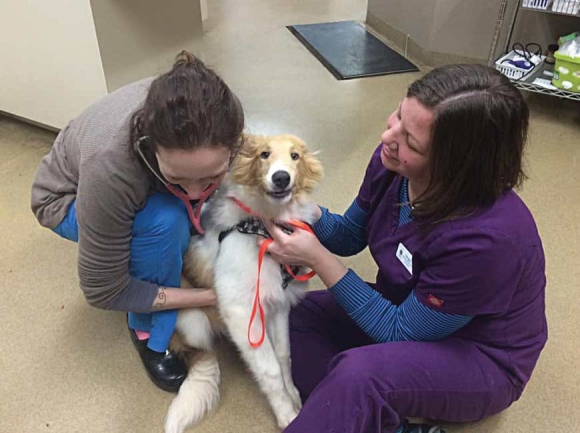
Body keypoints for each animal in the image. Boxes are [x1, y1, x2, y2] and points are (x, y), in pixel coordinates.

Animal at [164, 133, 322, 430]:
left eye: (295, 156)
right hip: (194, 322)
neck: (261, 226)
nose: (281, 178)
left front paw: (294, 396)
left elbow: (283, 356)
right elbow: (270, 370)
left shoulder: (277, 305)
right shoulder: (242, 312)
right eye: (264, 154)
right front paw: (287, 415)